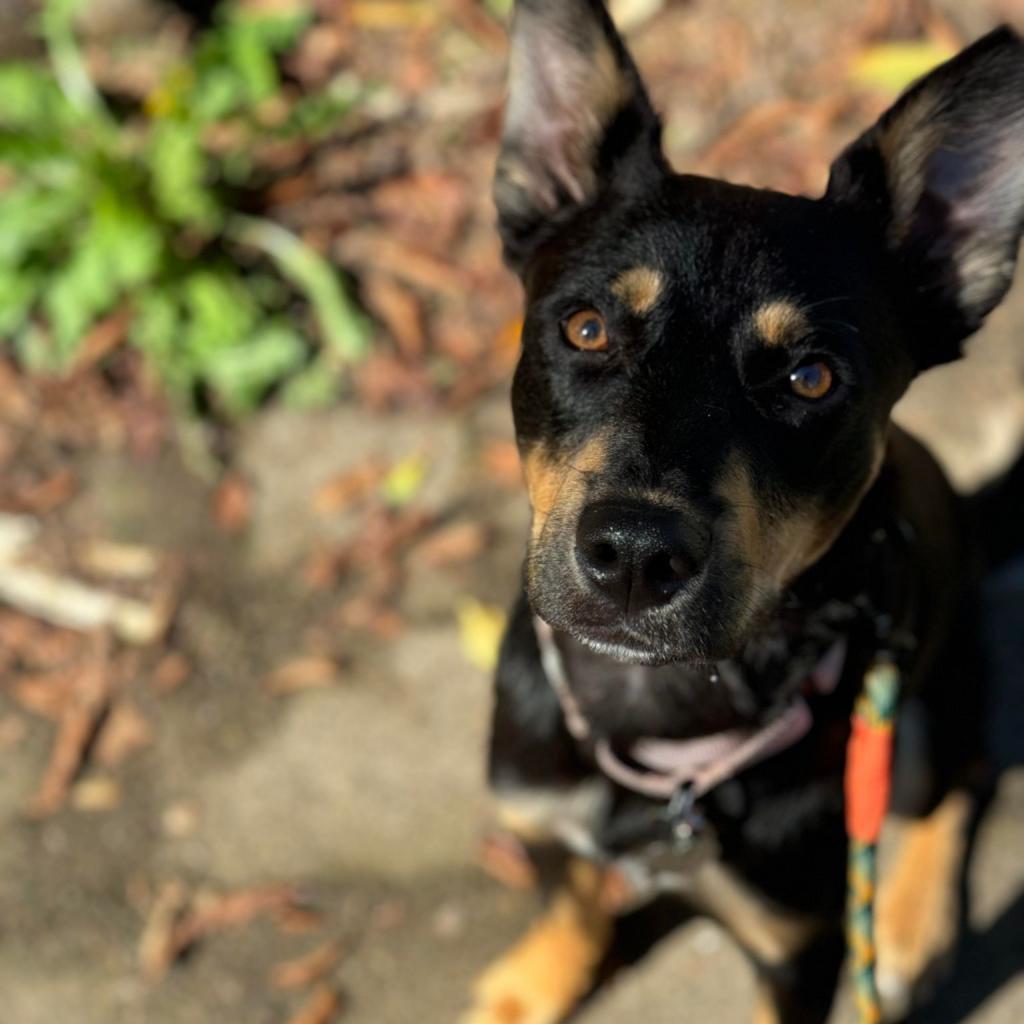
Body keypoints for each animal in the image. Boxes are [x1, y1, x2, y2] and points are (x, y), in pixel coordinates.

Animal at [466, 4, 1024, 1019]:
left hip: (929, 679)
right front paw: (532, 987)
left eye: (811, 378)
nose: (634, 554)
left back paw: (907, 923)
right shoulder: (537, 810)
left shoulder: (794, 943)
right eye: (586, 328)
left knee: (952, 779)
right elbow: (570, 902)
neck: (653, 709)